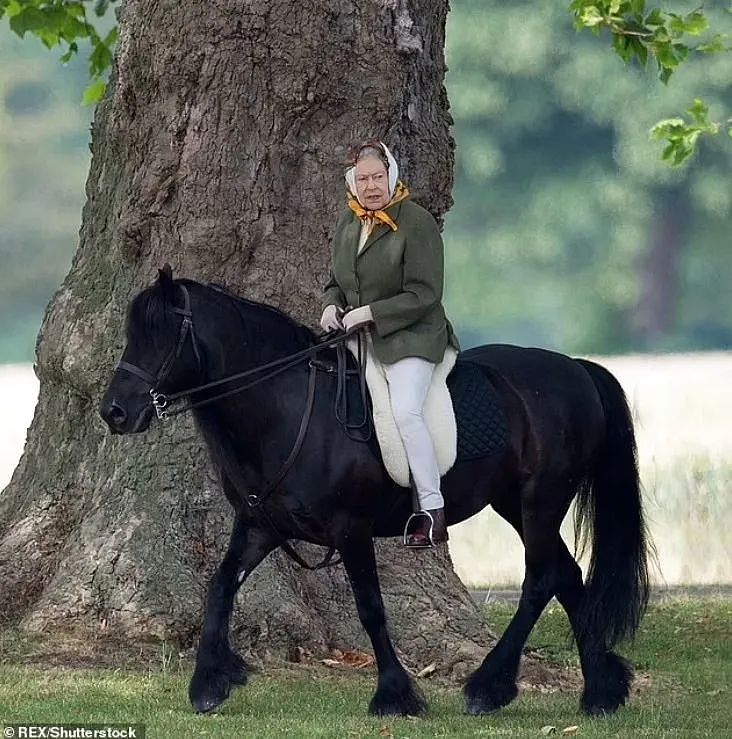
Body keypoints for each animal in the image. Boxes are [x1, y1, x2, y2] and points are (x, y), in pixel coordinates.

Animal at [98, 270, 652, 716]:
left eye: (161, 336)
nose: (115, 413)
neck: (292, 411)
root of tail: (576, 368)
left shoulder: (351, 529)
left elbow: (370, 607)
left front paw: (395, 695)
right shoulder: (260, 526)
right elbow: (219, 588)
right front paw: (209, 685)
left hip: (541, 500)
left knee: (540, 580)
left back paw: (487, 688)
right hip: (514, 503)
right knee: (567, 574)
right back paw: (601, 692)